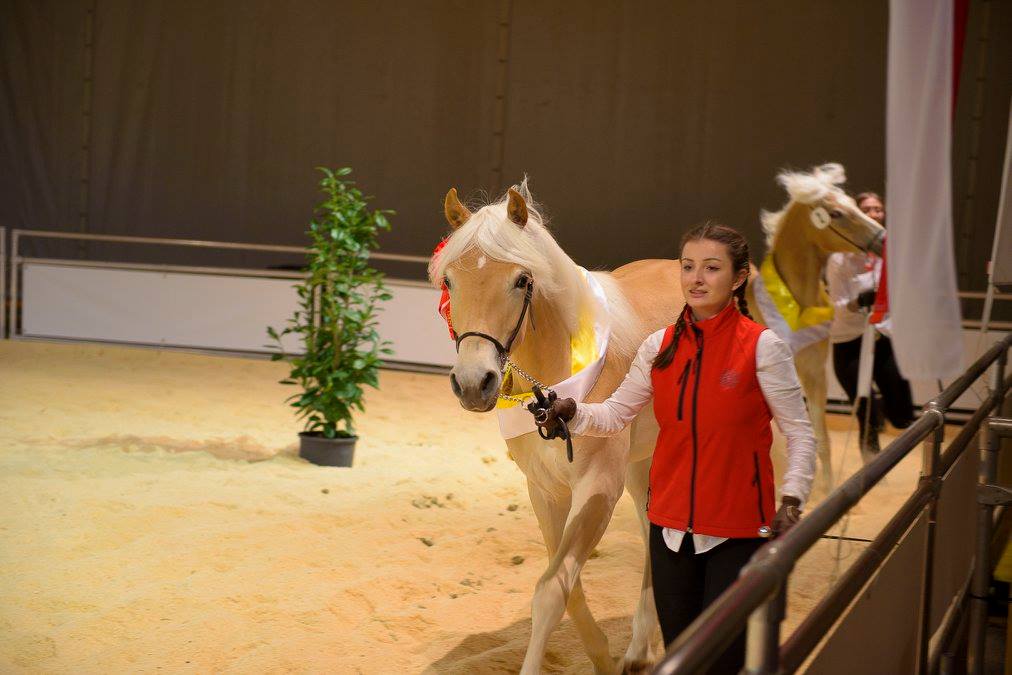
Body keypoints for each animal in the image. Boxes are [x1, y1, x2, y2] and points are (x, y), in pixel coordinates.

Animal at [429, 182, 676, 671]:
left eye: (522, 281)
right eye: (449, 282)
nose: (474, 383)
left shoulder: (598, 488)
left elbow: (550, 592)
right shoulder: (545, 491)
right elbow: (565, 585)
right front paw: (602, 656)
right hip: (642, 466)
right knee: (650, 534)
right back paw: (639, 651)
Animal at [748, 161, 882, 491]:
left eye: (853, 204)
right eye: (836, 213)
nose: (882, 237)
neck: (798, 308)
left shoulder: (814, 373)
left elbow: (821, 440)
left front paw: (828, 489)